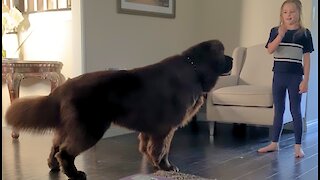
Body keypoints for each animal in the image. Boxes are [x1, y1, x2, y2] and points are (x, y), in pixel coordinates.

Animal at [5, 39, 232, 180]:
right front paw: (166, 167)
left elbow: (148, 147)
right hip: (90, 128)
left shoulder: (152, 128)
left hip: (69, 126)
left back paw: (53, 166)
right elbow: (162, 149)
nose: (232, 60)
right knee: (65, 152)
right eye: (222, 53)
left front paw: (153, 165)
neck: (194, 69)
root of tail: (65, 85)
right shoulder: (166, 128)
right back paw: (74, 174)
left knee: (55, 146)